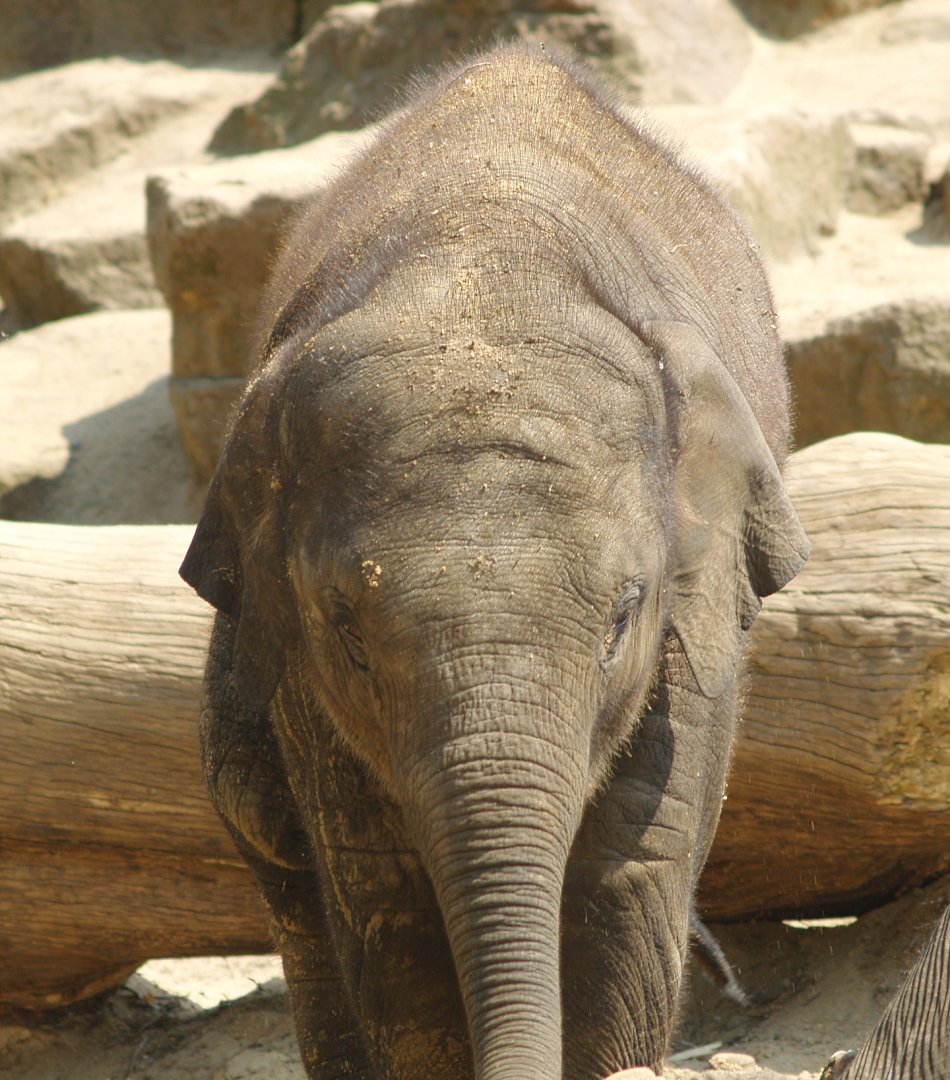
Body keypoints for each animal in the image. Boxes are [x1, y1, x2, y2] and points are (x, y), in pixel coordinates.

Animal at [180, 43, 810, 1080]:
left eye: (621, 621)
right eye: (348, 638)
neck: (482, 275)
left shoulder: (694, 627)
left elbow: (626, 882)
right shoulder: (298, 673)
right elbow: (387, 908)